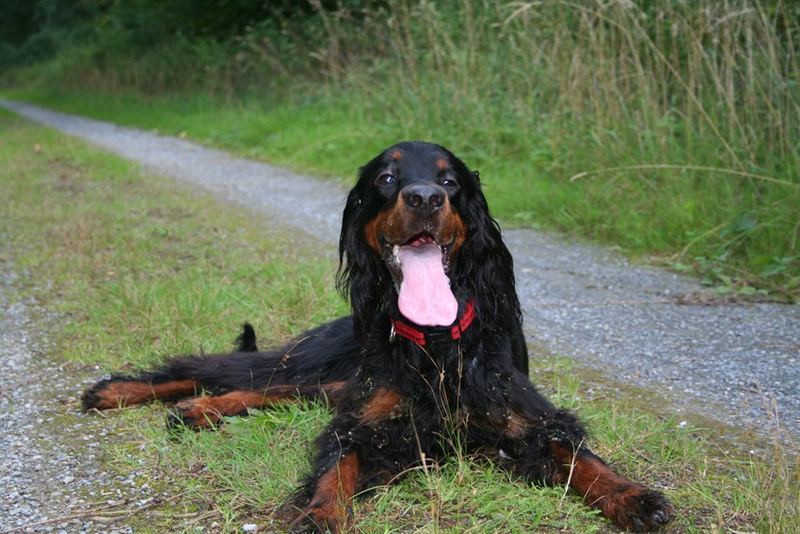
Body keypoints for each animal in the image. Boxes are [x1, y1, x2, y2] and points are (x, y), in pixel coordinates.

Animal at [83, 141, 676, 532]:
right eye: (386, 180)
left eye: (450, 181)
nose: (424, 197)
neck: (436, 343)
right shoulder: (367, 420)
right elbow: (337, 462)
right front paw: (319, 512)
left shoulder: (519, 412)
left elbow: (575, 454)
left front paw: (634, 497)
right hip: (319, 363)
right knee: (210, 370)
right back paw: (119, 392)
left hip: (330, 381)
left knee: (260, 392)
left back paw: (197, 412)